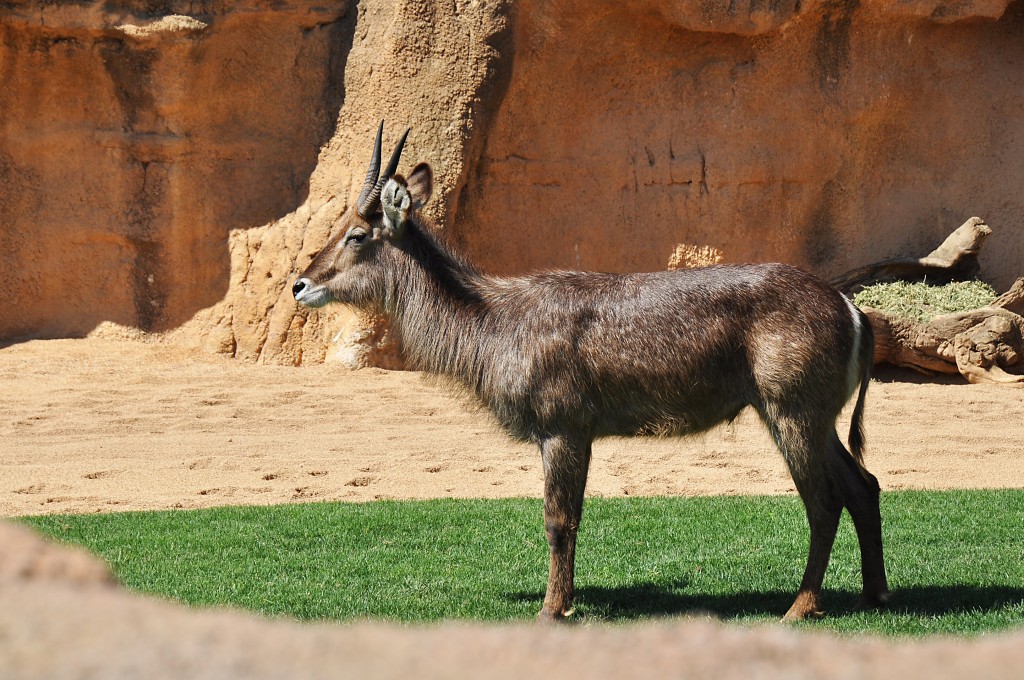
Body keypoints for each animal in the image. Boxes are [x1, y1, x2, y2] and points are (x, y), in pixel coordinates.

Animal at [290, 124, 888, 622]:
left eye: (357, 234)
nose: (299, 284)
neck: (492, 322)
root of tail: (851, 308)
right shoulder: (572, 433)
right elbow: (571, 518)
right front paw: (565, 601)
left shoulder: (563, 427)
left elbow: (559, 521)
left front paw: (552, 609)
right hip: (813, 417)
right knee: (864, 485)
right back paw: (875, 594)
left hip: (791, 410)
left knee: (824, 502)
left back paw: (801, 607)